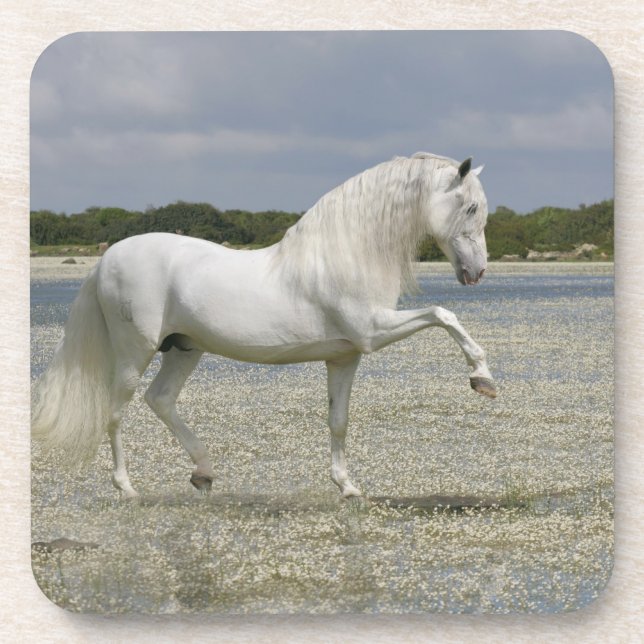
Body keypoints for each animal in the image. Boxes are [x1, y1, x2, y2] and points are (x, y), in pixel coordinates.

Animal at [32, 152, 496, 499]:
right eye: (471, 207)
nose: (477, 272)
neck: (345, 254)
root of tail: (106, 259)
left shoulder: (345, 357)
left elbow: (338, 421)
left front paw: (347, 487)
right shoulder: (372, 331)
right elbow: (443, 315)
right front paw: (482, 378)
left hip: (185, 348)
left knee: (160, 400)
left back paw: (204, 473)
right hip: (136, 352)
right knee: (115, 411)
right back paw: (127, 487)